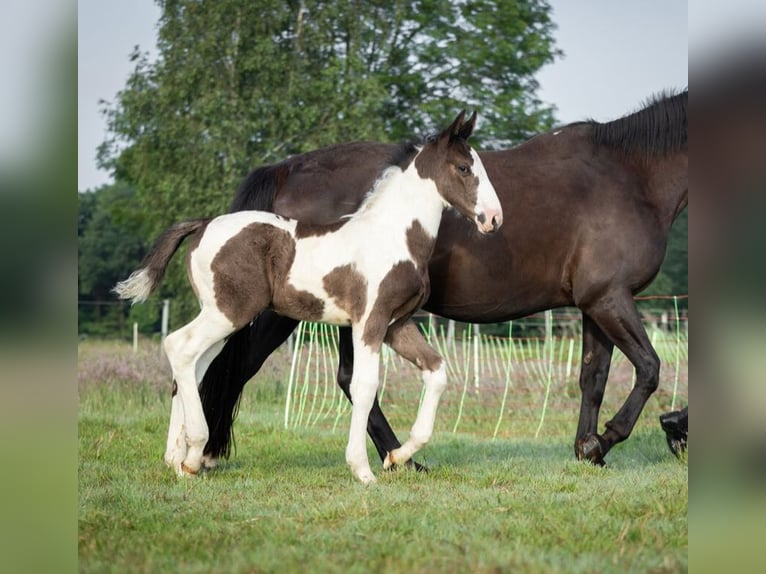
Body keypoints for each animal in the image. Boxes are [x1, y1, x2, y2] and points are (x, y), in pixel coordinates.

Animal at [111, 110, 500, 484]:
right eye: (463, 168)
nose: (493, 219)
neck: (393, 235)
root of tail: (203, 224)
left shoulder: (397, 324)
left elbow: (436, 371)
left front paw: (397, 457)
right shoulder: (369, 322)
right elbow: (365, 386)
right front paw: (362, 470)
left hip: (220, 317)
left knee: (194, 364)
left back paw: (177, 460)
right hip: (229, 313)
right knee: (179, 346)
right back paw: (193, 454)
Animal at [198, 90, 688, 468]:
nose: (674, 429)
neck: (628, 176)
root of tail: (287, 169)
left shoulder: (594, 303)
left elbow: (594, 377)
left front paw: (589, 449)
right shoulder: (611, 299)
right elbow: (649, 369)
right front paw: (606, 439)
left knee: (346, 378)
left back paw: (400, 458)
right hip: (287, 309)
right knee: (241, 365)